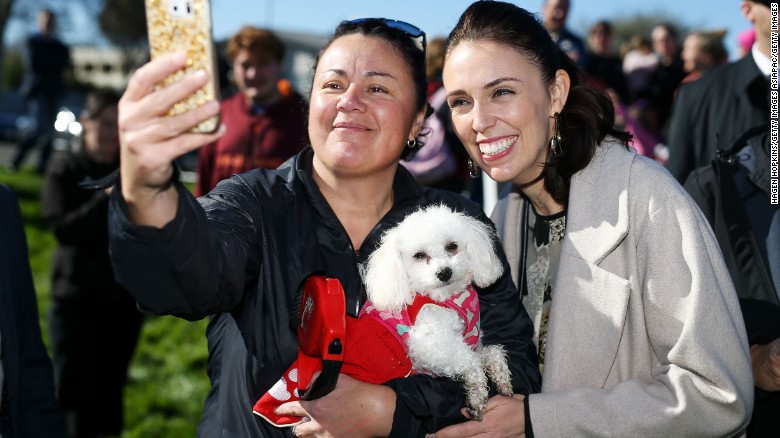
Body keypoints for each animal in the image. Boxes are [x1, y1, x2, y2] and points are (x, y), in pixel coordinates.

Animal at [364, 204, 516, 420]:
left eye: (452, 246)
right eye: (419, 255)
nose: (444, 272)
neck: (446, 298)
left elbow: (491, 351)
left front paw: (500, 375)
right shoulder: (428, 346)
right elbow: (470, 361)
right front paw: (477, 395)